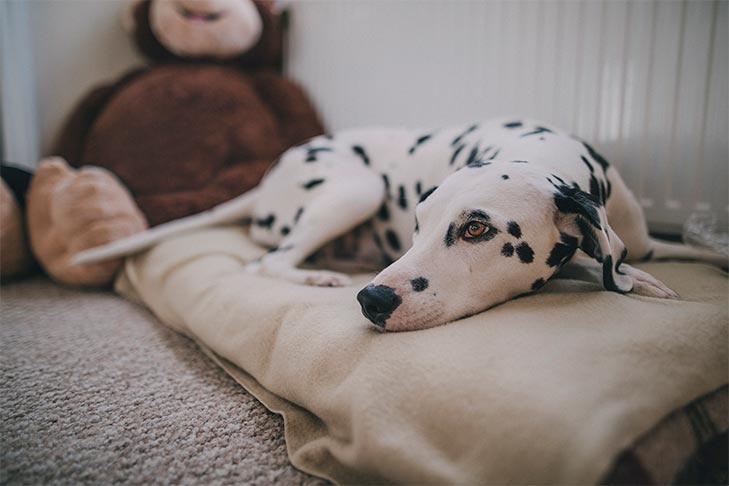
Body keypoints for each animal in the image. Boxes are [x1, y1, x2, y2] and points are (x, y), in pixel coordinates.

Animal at [74, 118, 724, 330]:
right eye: (418, 224)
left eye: (477, 229)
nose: (372, 299)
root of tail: (269, 175)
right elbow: (598, 266)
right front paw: (640, 283)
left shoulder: (644, 239)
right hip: (356, 188)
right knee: (267, 261)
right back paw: (317, 276)